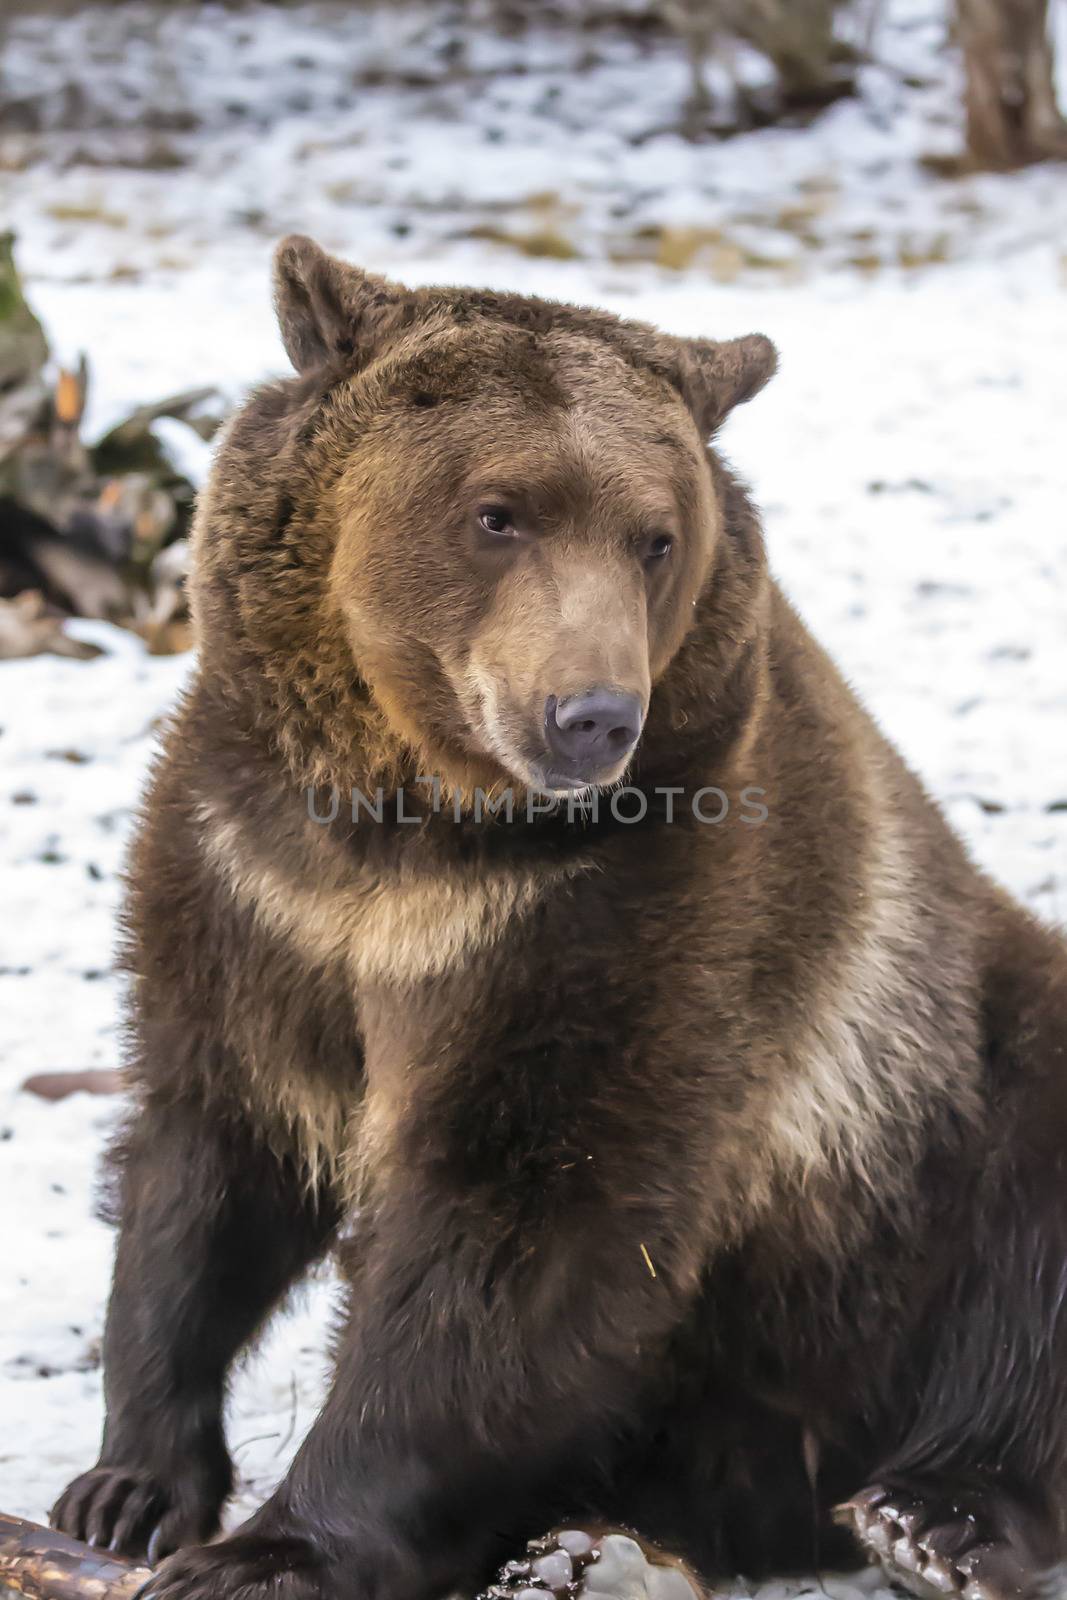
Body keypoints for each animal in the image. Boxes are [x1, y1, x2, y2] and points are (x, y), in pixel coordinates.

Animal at [47, 233, 1067, 1600]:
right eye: (497, 511)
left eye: (653, 537)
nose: (592, 714)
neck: (417, 833)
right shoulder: (248, 881)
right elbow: (202, 1155)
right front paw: (127, 1487)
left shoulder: (620, 914)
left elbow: (524, 1227)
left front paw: (270, 1549)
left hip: (935, 1134)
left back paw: (934, 1512)